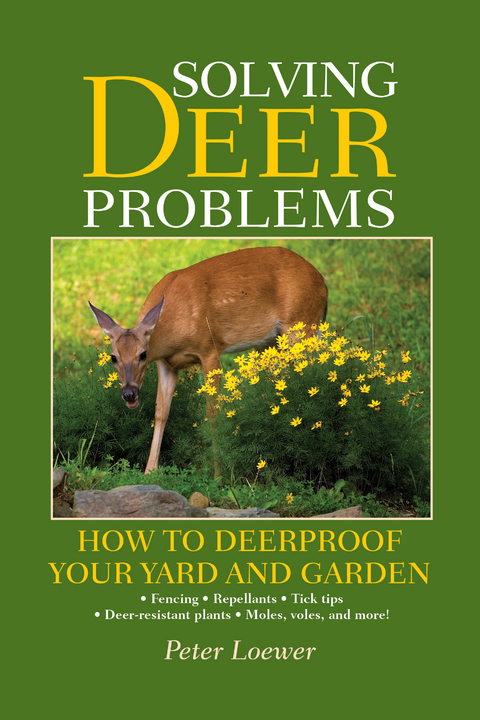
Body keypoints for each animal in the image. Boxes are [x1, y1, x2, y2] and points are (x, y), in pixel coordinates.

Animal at [89, 246, 328, 473]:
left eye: (143, 354)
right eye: (113, 357)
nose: (129, 393)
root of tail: (322, 279)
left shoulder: (209, 348)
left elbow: (212, 414)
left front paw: (218, 474)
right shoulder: (166, 364)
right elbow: (160, 413)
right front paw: (150, 472)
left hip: (301, 325)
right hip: (270, 342)